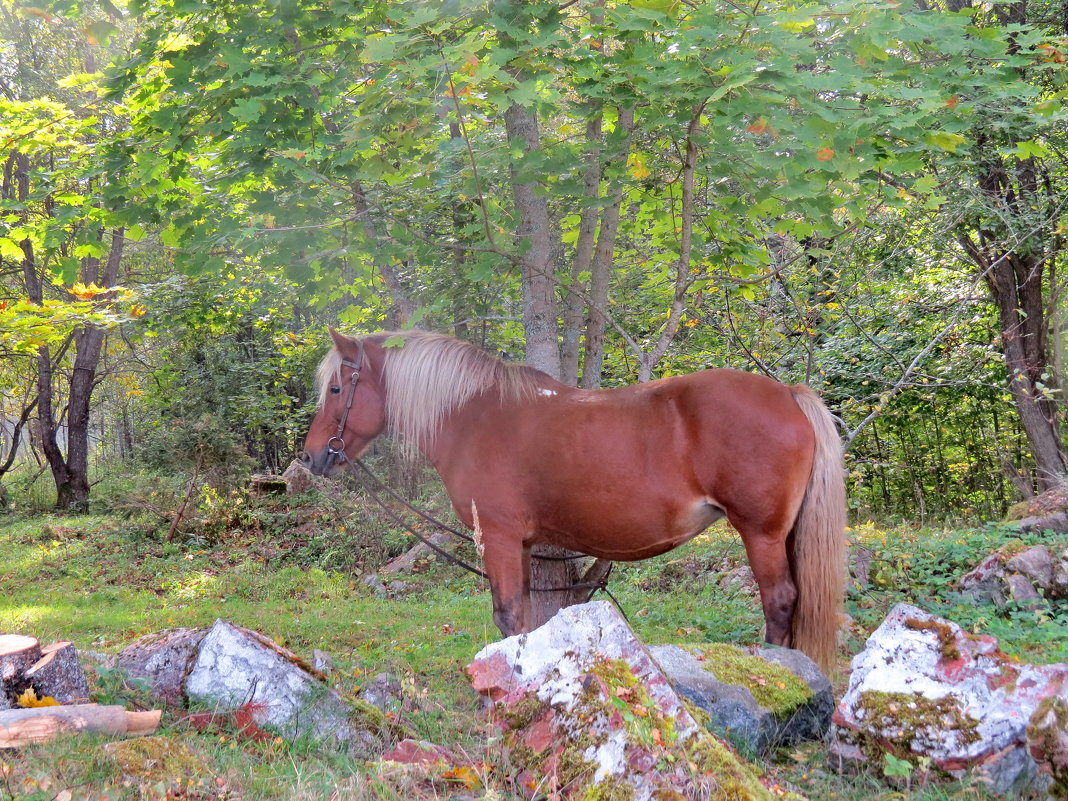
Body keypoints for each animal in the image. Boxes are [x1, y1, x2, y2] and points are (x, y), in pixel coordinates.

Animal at [296, 328, 845, 674]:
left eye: (337, 388)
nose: (312, 456)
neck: (472, 416)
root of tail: (788, 393)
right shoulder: (519, 544)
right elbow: (520, 615)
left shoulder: (497, 537)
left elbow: (507, 615)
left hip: (761, 533)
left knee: (780, 602)